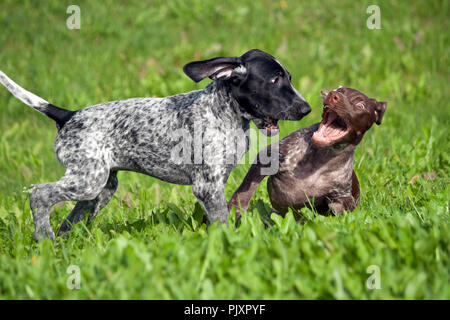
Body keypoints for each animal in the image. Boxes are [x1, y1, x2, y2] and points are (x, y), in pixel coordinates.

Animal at [0, 49, 310, 240]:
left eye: (289, 78)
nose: (306, 109)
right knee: (39, 194)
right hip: (87, 182)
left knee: (68, 221)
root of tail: (69, 115)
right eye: (275, 80)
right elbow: (221, 222)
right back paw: (43, 238)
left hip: (99, 189)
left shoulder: (217, 184)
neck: (226, 113)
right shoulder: (207, 186)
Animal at [229, 87, 386, 218]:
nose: (333, 95)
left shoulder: (342, 196)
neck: (323, 158)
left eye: (361, 105)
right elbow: (244, 192)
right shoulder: (267, 158)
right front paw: (234, 214)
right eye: (340, 90)